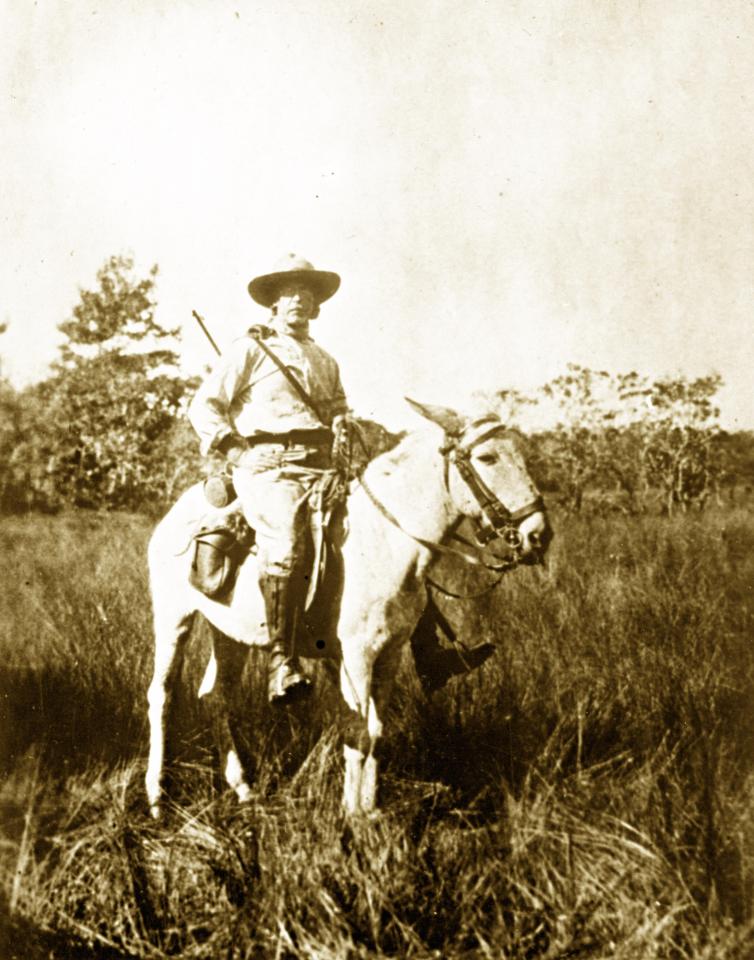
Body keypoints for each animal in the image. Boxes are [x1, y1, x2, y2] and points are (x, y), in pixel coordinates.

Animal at [144, 404, 548, 816]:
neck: (387, 538)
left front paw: (370, 809)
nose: (539, 535)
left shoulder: (390, 654)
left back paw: (243, 789)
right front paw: (351, 815)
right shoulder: (358, 655)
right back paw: (157, 796)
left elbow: (376, 729)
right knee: (162, 696)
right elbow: (358, 731)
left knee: (216, 697)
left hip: (230, 635)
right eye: (488, 458)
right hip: (173, 618)